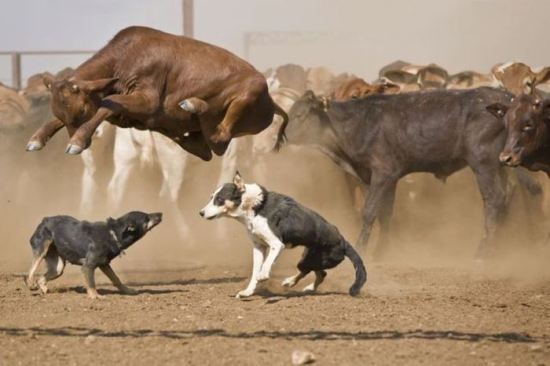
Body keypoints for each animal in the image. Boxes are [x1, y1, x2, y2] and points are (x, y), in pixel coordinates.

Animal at [24, 210, 163, 298]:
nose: (161, 213)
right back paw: (30, 284)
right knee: (31, 270)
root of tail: (45, 219)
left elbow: (116, 279)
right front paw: (95, 296)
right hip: (41, 249)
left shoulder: (104, 264)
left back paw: (43, 289)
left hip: (58, 268)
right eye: (146, 218)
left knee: (41, 278)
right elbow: (91, 283)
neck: (113, 233)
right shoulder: (88, 266)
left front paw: (127, 291)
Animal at [25, 26, 288, 161]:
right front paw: (36, 138)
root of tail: (271, 101)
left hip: (248, 95)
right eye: (59, 112)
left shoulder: (147, 99)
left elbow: (109, 102)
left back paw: (193, 104)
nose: (81, 142)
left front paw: (77, 141)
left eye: (81, 110)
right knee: (204, 149)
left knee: (220, 139)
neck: (124, 59)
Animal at [201, 172, 368, 298]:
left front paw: (264, 275)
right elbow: (255, 271)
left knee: (311, 271)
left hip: (314, 260)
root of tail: (343, 241)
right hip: (309, 257)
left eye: (219, 199)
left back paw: (290, 282)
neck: (255, 206)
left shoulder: (276, 244)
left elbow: (266, 265)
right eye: (211, 197)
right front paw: (248, 292)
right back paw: (301, 286)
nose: (201, 213)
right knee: (321, 274)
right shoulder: (258, 247)